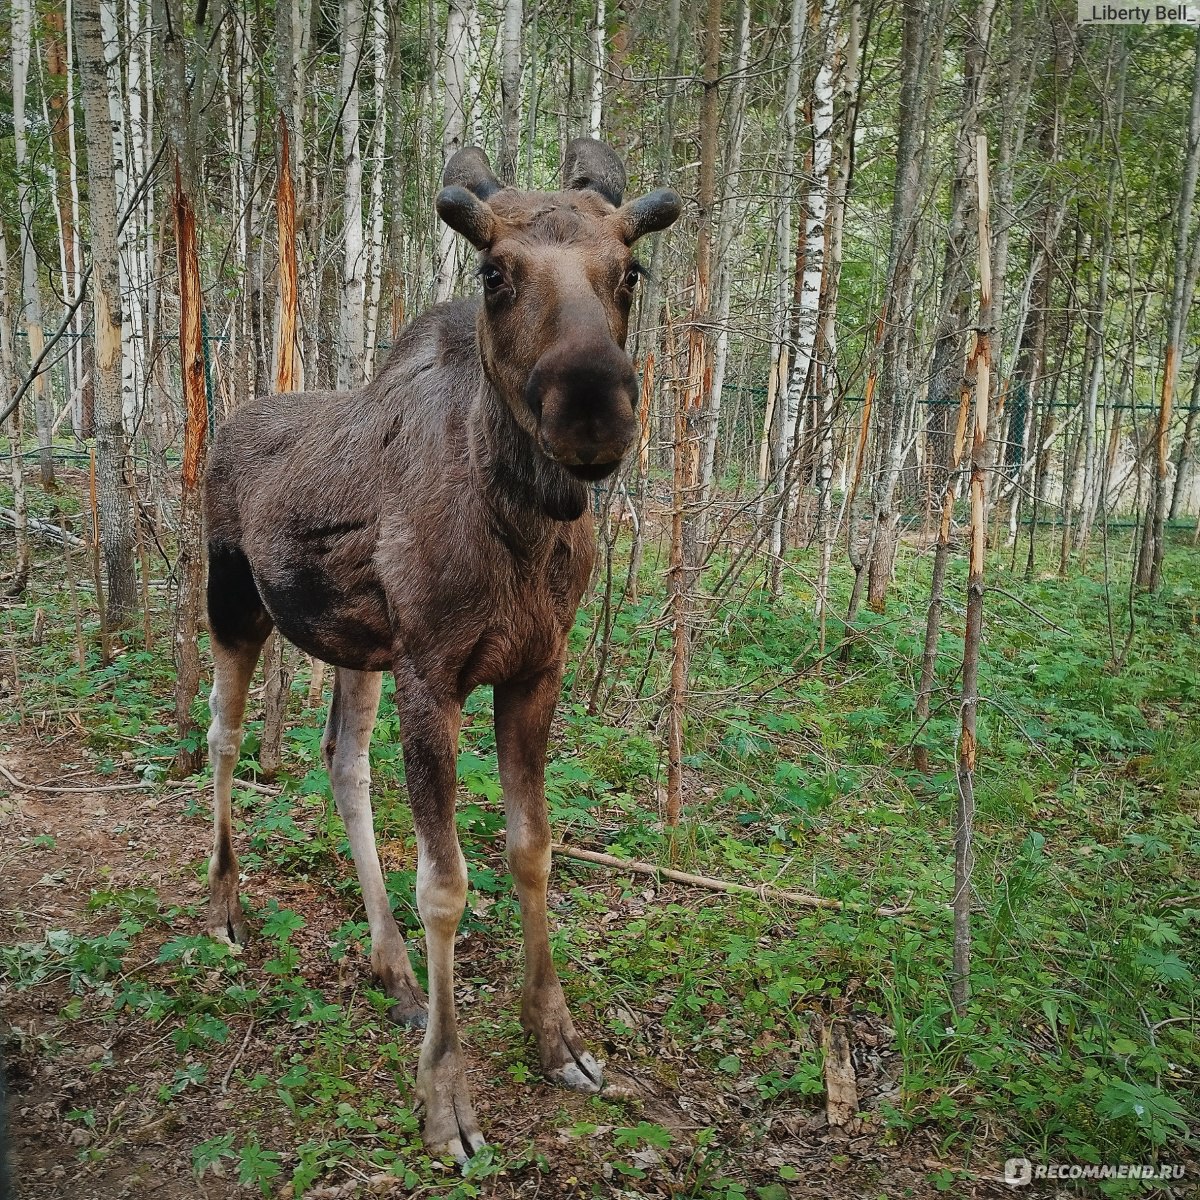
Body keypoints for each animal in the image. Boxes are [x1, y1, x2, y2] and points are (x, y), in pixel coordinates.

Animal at [201, 140, 681, 1161]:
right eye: (493, 273)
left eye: (631, 270)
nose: (593, 410)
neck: (526, 528)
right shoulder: (435, 675)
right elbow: (448, 885)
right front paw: (446, 1098)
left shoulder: (534, 670)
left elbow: (532, 849)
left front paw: (558, 1039)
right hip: (234, 602)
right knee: (221, 735)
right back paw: (224, 905)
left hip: (356, 647)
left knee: (341, 763)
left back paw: (390, 967)